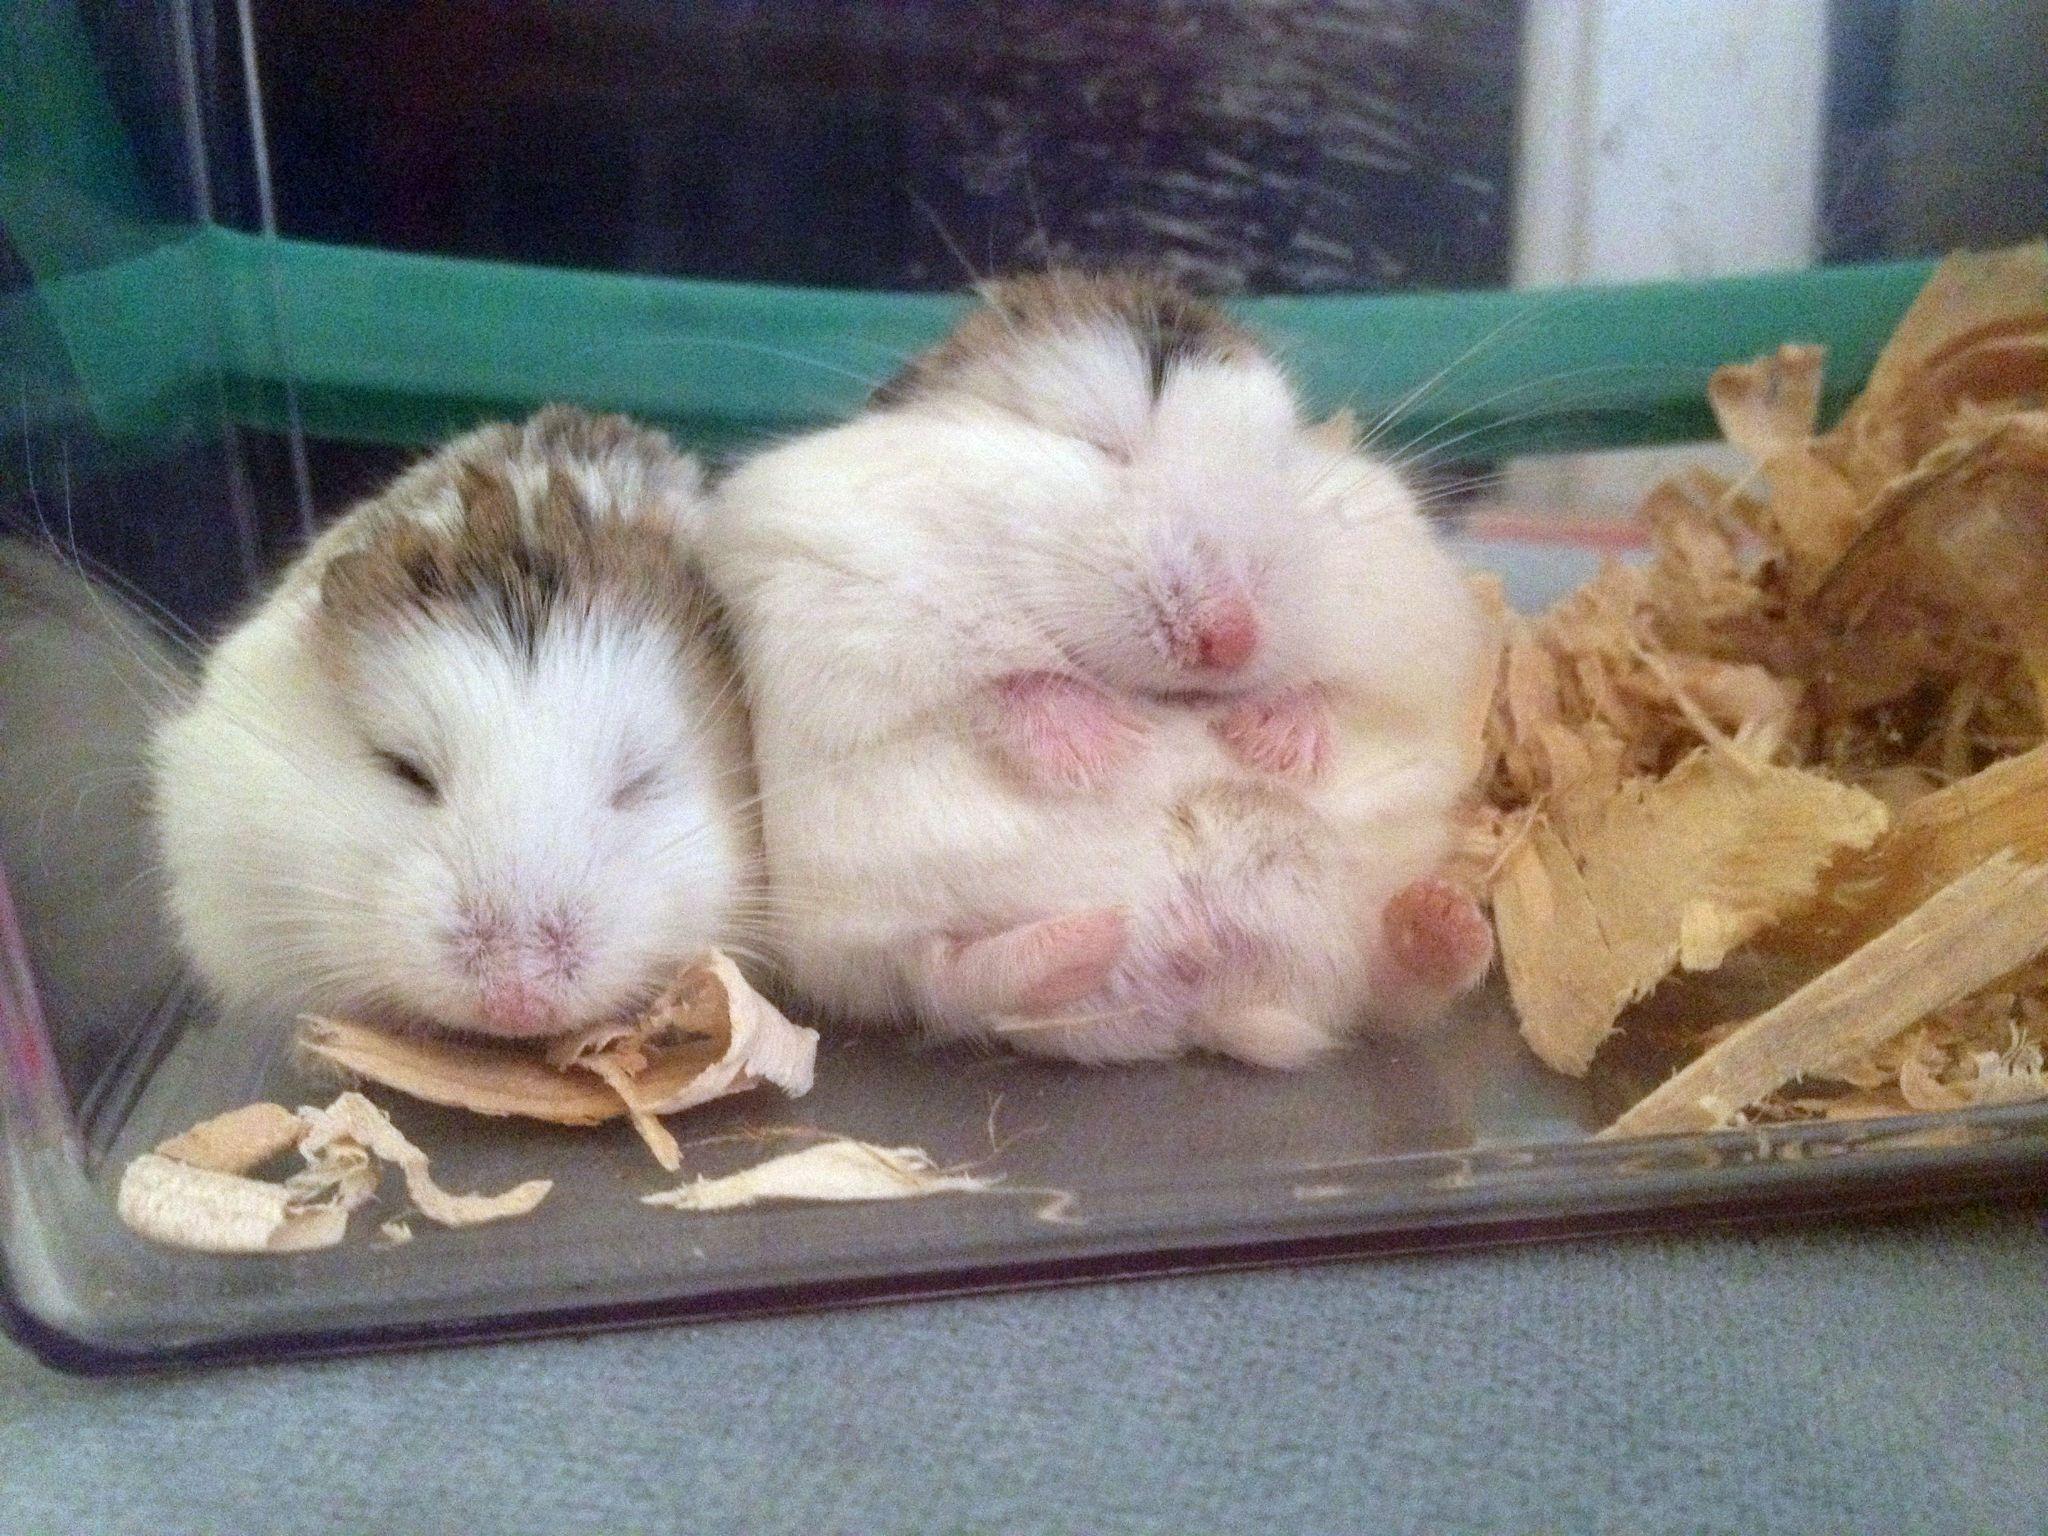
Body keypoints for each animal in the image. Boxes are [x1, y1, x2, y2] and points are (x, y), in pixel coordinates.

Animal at [703, 272, 1494, 1067]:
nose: (1232, 640)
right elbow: (999, 685)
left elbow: (1334, 691)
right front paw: (1115, 746)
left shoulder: (1410, 633)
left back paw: (1445, 921)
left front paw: (1270, 746)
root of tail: (1203, 996)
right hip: (875, 947)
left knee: (1391, 990)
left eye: (1279, 467)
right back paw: (1084, 937)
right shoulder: (844, 616)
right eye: (1101, 442)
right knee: (953, 976)